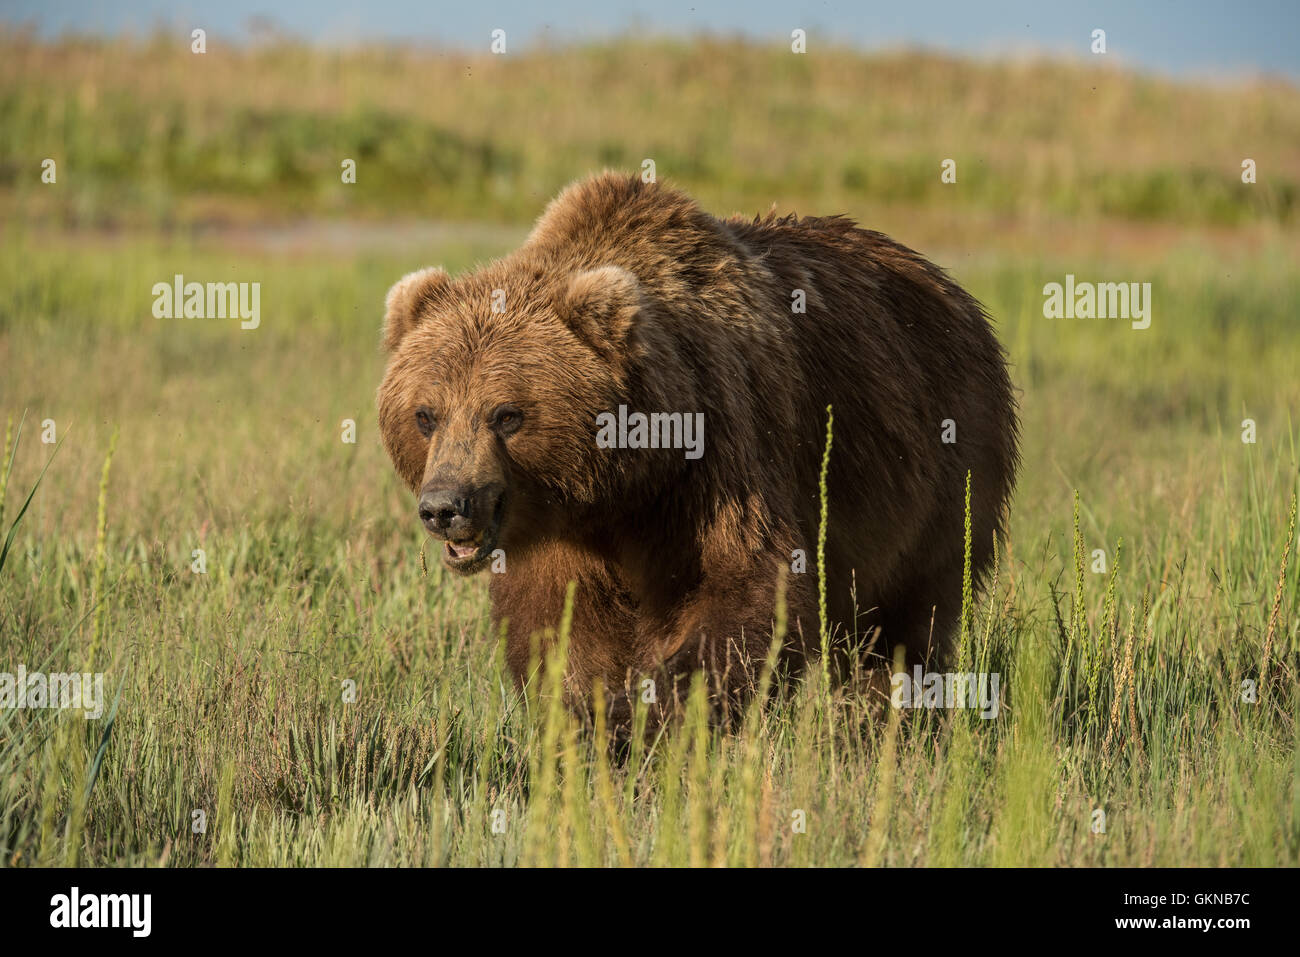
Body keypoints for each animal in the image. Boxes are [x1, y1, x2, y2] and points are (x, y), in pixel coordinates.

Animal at [377, 171, 1018, 729]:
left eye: (506, 415)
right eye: (426, 415)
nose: (445, 506)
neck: (621, 487)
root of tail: (950, 286)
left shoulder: (719, 462)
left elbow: (746, 591)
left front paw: (649, 718)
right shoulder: (556, 534)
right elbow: (559, 629)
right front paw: (588, 723)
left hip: (945, 469)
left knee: (902, 627)